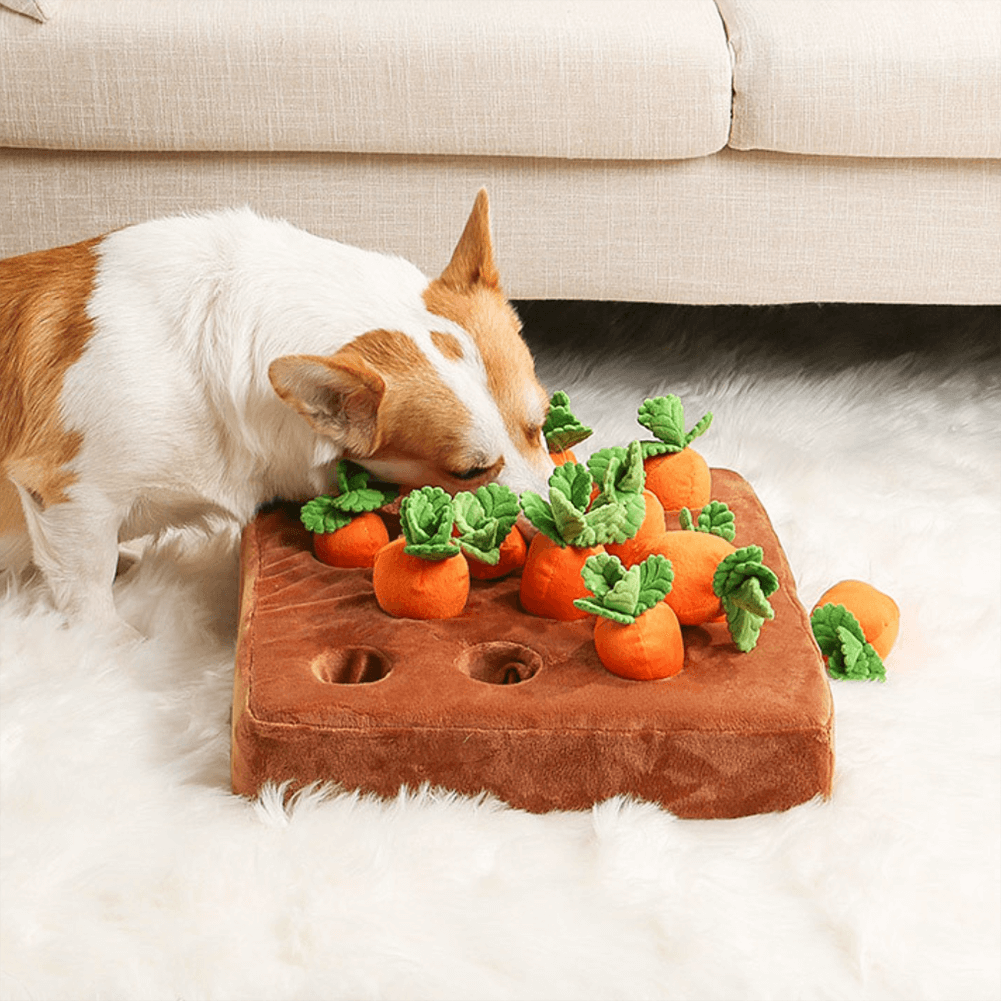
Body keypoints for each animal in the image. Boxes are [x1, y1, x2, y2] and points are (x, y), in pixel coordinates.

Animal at [1, 191, 548, 636]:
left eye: (540, 425)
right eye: (470, 472)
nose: (560, 525)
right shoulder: (70, 497)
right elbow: (88, 592)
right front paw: (117, 645)